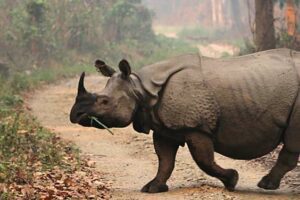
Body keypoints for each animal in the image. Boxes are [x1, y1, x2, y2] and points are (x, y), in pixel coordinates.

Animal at [70, 48, 300, 192]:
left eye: (104, 101)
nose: (74, 115)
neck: (140, 88)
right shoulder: (163, 127)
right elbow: (165, 160)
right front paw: (152, 188)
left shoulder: (196, 127)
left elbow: (204, 160)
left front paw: (232, 180)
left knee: (292, 139)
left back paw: (265, 186)